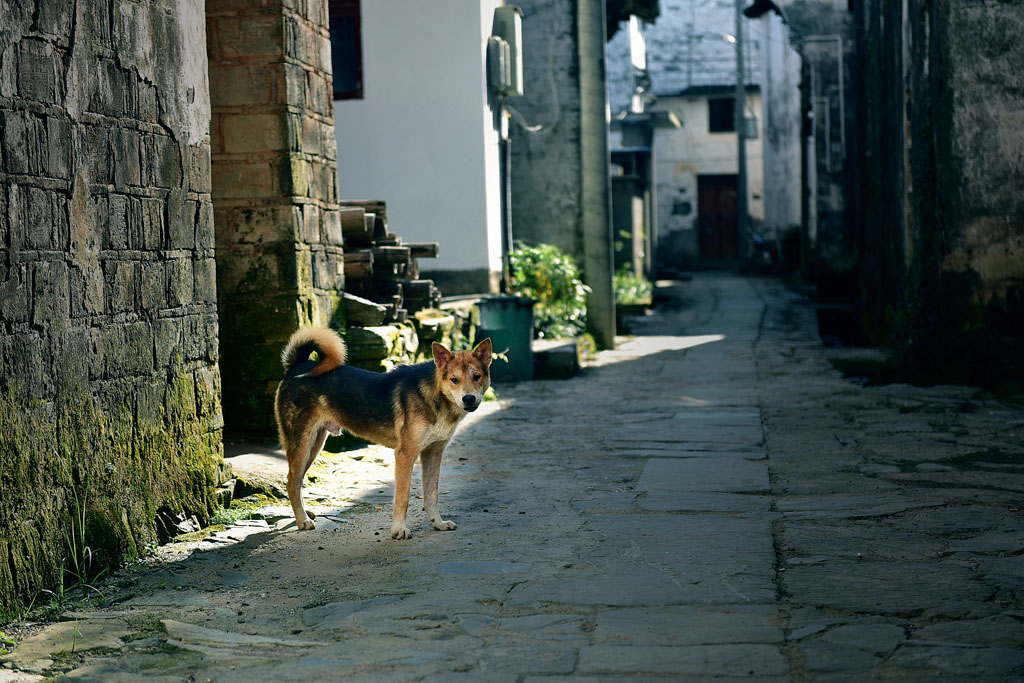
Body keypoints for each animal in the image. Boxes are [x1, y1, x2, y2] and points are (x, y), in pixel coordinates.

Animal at [274, 327, 493, 540]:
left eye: (477, 377)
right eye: (454, 379)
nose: (469, 398)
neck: (436, 397)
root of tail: (297, 366)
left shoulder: (433, 453)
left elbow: (432, 495)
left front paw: (438, 523)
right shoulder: (405, 454)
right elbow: (403, 498)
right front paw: (399, 530)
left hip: (314, 446)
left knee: (297, 481)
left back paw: (305, 514)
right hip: (302, 445)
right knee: (291, 482)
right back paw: (303, 521)